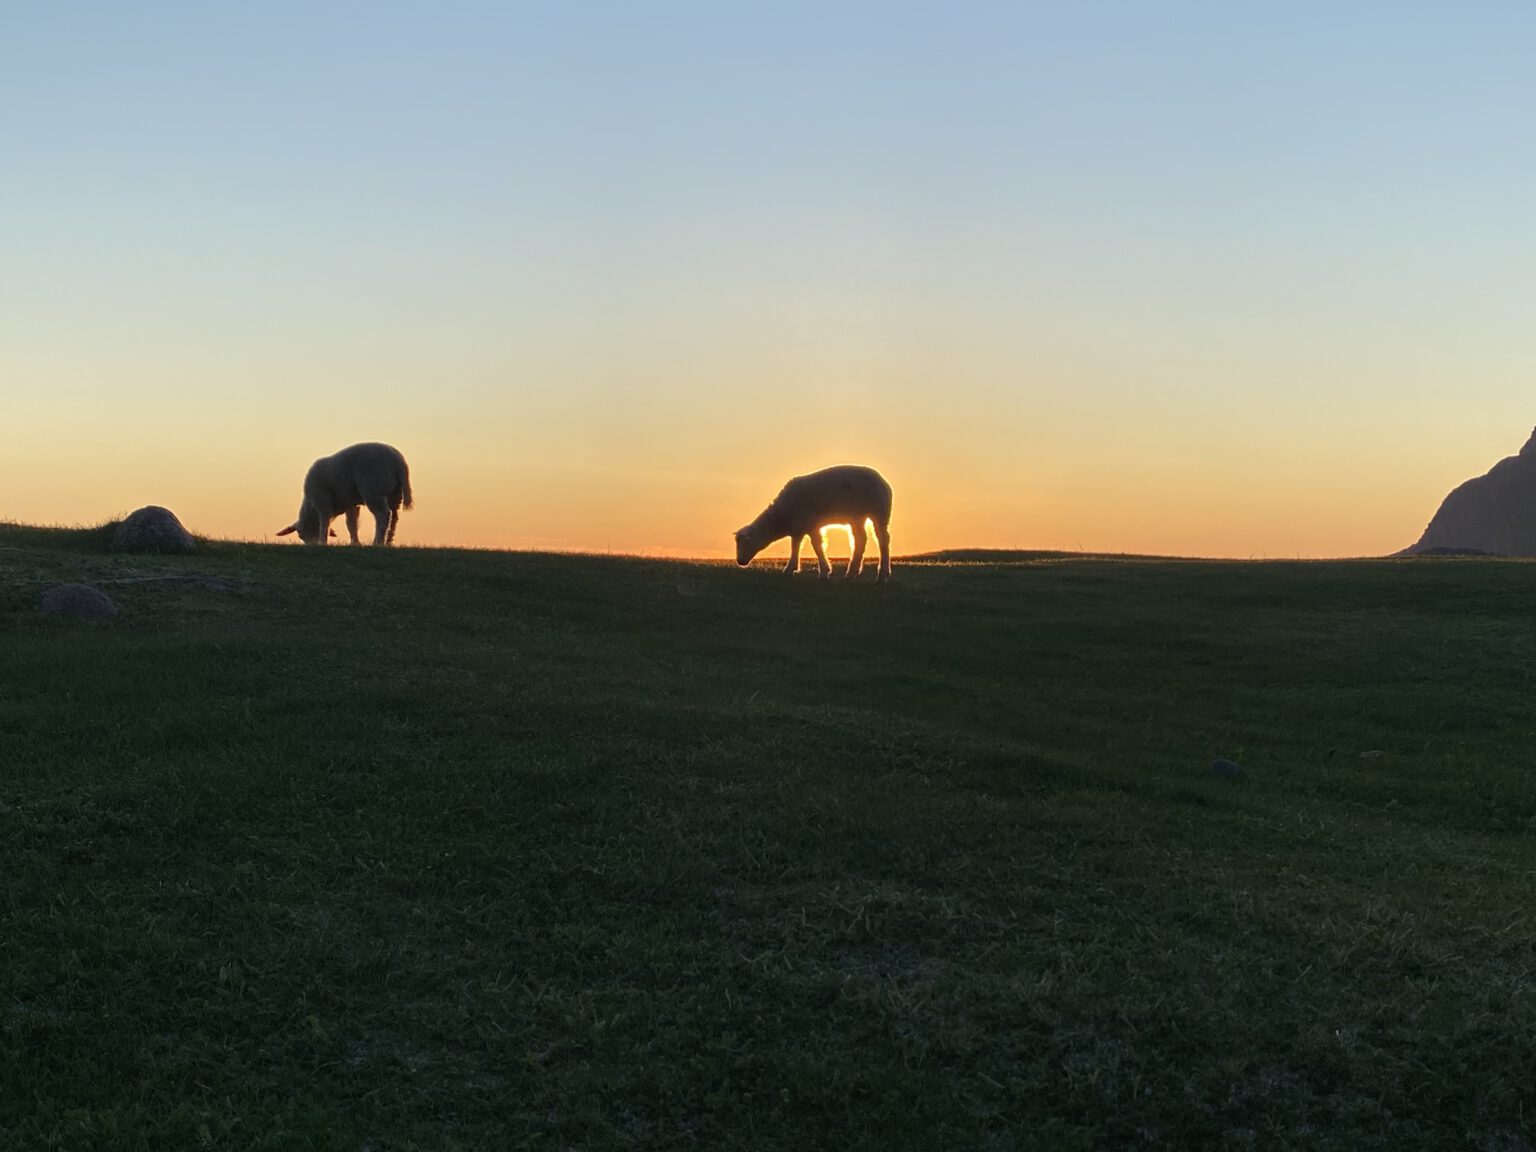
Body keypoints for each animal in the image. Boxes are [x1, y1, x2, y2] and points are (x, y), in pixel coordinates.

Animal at [273, 445, 411, 546]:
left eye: (301, 535)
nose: (311, 546)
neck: (310, 505)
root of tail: (398, 462)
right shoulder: (351, 503)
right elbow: (351, 524)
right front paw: (355, 543)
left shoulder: (322, 500)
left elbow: (324, 522)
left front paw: (322, 542)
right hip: (395, 494)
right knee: (394, 518)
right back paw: (388, 541)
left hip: (373, 490)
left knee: (383, 515)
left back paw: (378, 542)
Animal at [737, 463, 897, 580]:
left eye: (745, 543)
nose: (739, 562)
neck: (782, 516)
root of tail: (884, 482)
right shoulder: (799, 526)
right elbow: (796, 545)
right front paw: (790, 568)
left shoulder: (810, 523)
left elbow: (817, 546)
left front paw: (824, 572)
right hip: (858, 516)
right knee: (860, 539)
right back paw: (851, 572)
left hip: (879, 510)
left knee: (883, 540)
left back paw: (882, 574)